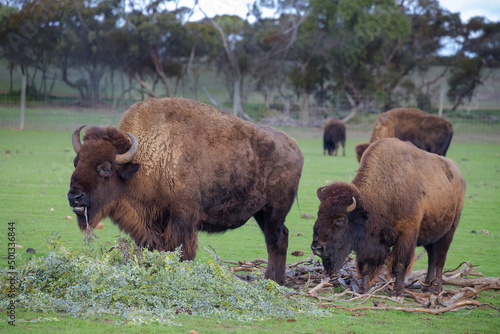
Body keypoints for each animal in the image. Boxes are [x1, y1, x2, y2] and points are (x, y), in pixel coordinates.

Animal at [68, 97, 304, 284]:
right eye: (76, 162)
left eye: (105, 168)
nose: (74, 197)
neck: (146, 161)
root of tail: (294, 146)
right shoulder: (152, 223)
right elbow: (157, 248)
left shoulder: (182, 220)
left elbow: (181, 251)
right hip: (261, 213)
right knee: (280, 237)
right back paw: (275, 279)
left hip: (274, 210)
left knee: (275, 239)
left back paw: (272, 279)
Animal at [310, 138, 466, 298]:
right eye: (319, 213)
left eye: (340, 220)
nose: (316, 247)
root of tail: (458, 175)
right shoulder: (368, 242)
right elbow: (365, 265)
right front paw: (363, 291)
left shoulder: (405, 237)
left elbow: (400, 265)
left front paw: (397, 293)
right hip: (431, 237)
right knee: (432, 259)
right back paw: (427, 288)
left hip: (448, 232)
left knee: (440, 260)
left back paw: (437, 289)